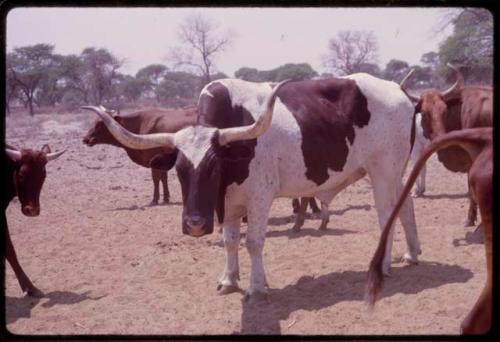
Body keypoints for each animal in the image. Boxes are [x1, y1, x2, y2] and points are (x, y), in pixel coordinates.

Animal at [82, 74, 422, 300]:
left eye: (213, 166)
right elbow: (230, 240)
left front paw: (257, 287)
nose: (194, 224)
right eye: (179, 169)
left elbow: (254, 242)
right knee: (406, 205)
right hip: (394, 172)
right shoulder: (230, 202)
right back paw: (411, 254)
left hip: (383, 171)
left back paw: (384, 265)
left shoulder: (260, 198)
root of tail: (400, 91)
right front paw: (229, 280)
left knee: (387, 215)